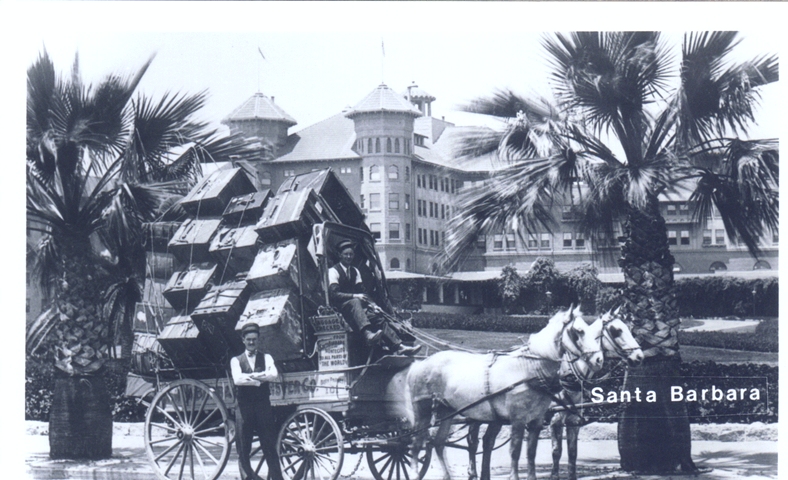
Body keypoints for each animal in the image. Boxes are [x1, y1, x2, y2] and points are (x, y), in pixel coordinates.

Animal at [406, 306, 604, 480]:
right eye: (579, 331)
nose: (598, 360)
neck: (528, 369)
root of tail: (420, 363)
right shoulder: (518, 419)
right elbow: (515, 451)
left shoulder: (536, 420)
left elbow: (530, 452)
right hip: (423, 410)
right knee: (416, 444)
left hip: (447, 411)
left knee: (438, 443)